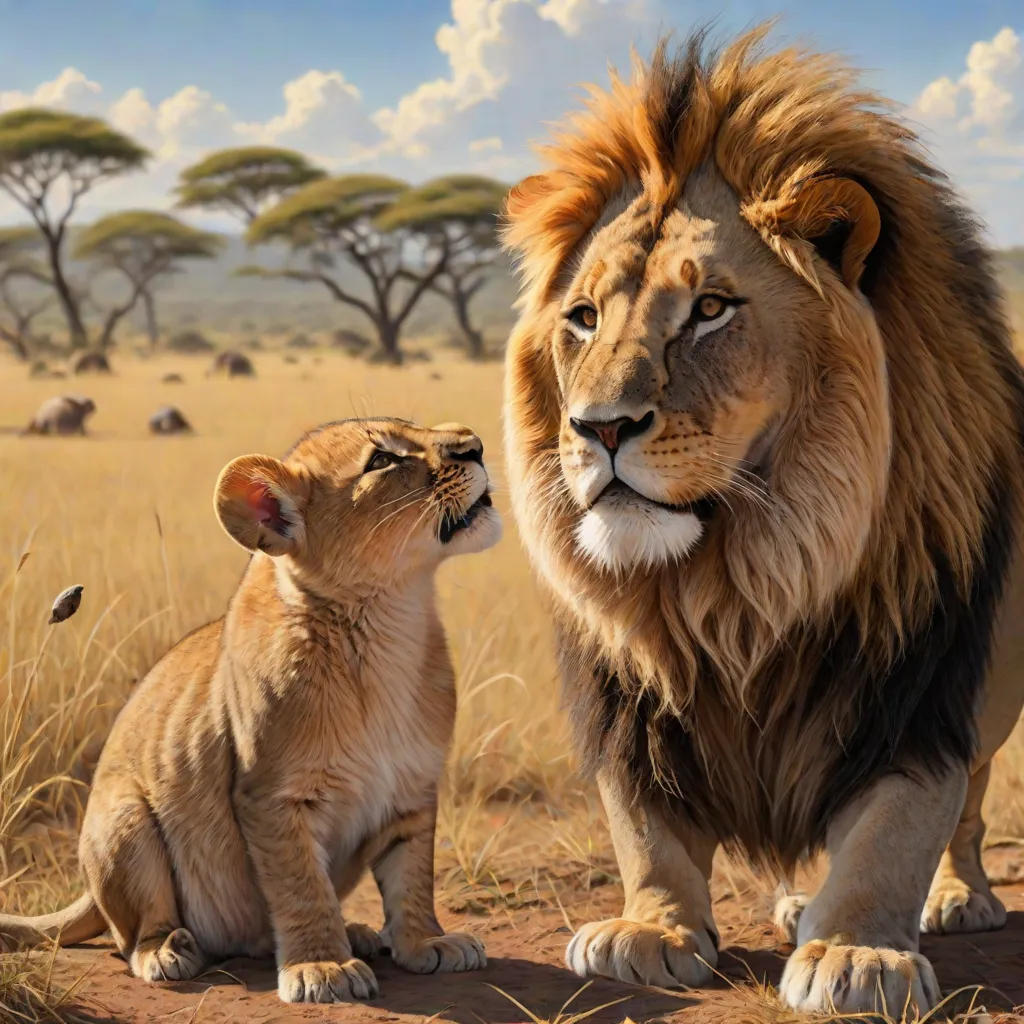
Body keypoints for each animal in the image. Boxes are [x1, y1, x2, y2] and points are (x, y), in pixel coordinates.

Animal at [0, 418, 500, 1003]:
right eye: (381, 460)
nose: (475, 445)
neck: (390, 623)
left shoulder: (413, 788)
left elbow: (413, 874)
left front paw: (427, 942)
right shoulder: (272, 796)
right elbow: (302, 885)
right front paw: (323, 966)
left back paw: (356, 931)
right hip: (123, 819)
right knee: (134, 935)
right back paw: (169, 950)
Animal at [501, 28, 1024, 1016]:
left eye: (710, 309)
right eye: (582, 318)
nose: (599, 427)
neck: (740, 582)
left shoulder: (915, 688)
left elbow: (897, 830)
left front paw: (857, 951)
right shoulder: (631, 703)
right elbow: (644, 827)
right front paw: (651, 930)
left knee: (973, 801)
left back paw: (953, 898)